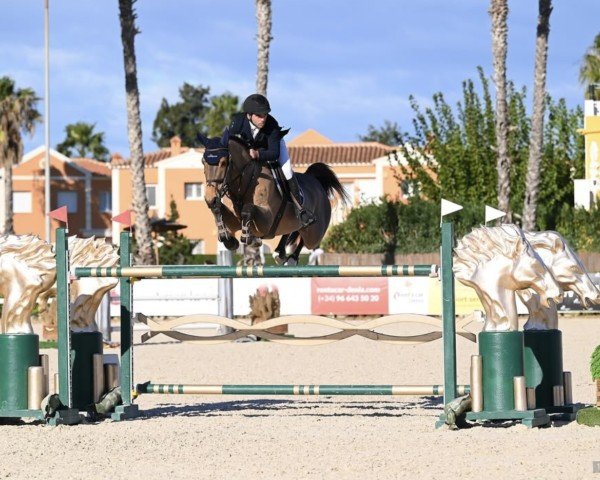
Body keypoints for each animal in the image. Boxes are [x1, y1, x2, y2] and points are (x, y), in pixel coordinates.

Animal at [199, 135, 350, 262]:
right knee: (294, 229)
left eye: (224, 162)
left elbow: (248, 209)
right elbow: (218, 211)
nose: (210, 198)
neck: (247, 181)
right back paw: (280, 252)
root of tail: (317, 183)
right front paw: (227, 237)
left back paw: (292, 257)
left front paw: (249, 238)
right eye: (203, 162)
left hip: (315, 233)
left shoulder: (267, 221)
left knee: (308, 240)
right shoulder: (234, 219)